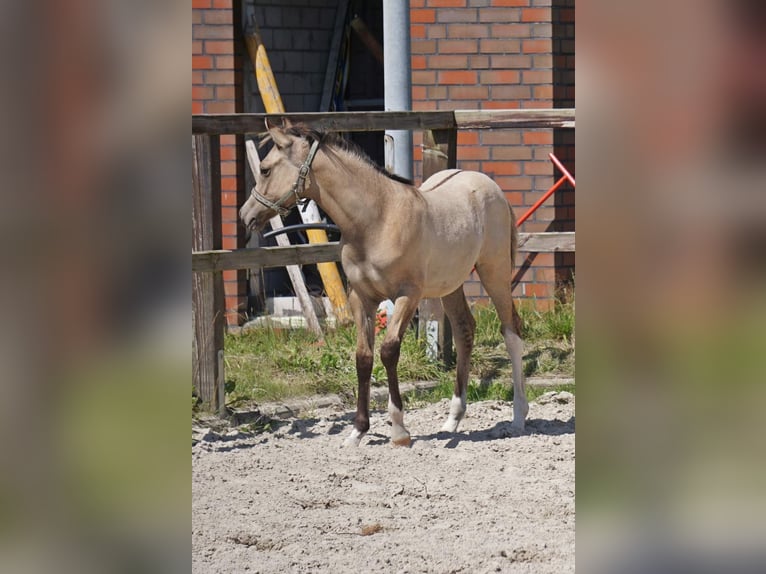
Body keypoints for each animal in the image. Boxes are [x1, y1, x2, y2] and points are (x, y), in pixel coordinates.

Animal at [242, 122, 528, 450]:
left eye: (265, 169)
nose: (246, 215)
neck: (377, 219)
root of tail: (490, 186)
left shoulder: (407, 295)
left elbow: (389, 350)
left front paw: (399, 431)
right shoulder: (362, 298)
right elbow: (363, 357)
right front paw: (357, 432)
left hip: (495, 271)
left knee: (512, 332)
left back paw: (518, 418)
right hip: (449, 283)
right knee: (464, 331)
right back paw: (452, 420)